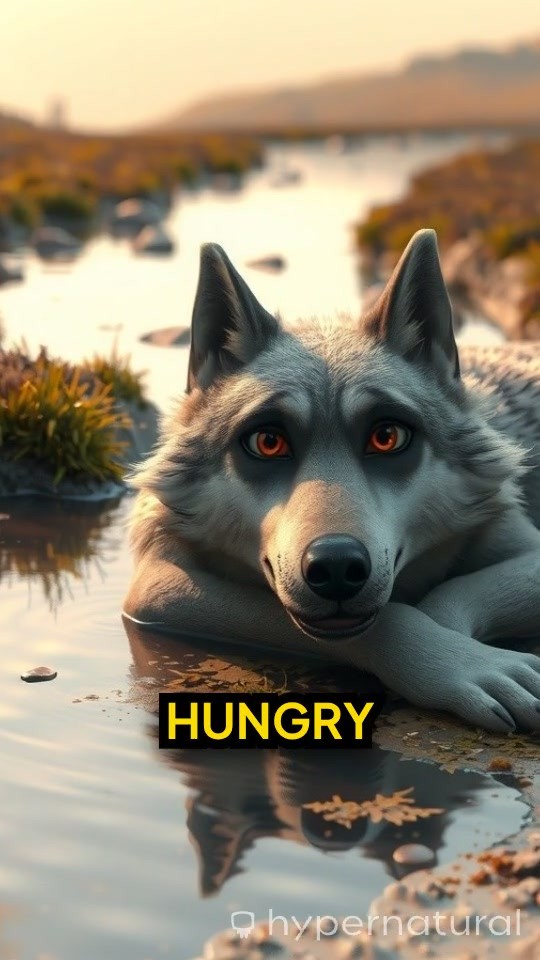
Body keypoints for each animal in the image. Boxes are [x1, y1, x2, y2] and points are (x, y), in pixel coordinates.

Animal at [124, 229, 540, 732]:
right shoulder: (158, 583)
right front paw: (462, 664)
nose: (337, 566)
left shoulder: (525, 549)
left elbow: (444, 597)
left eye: (387, 437)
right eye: (268, 441)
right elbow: (392, 619)